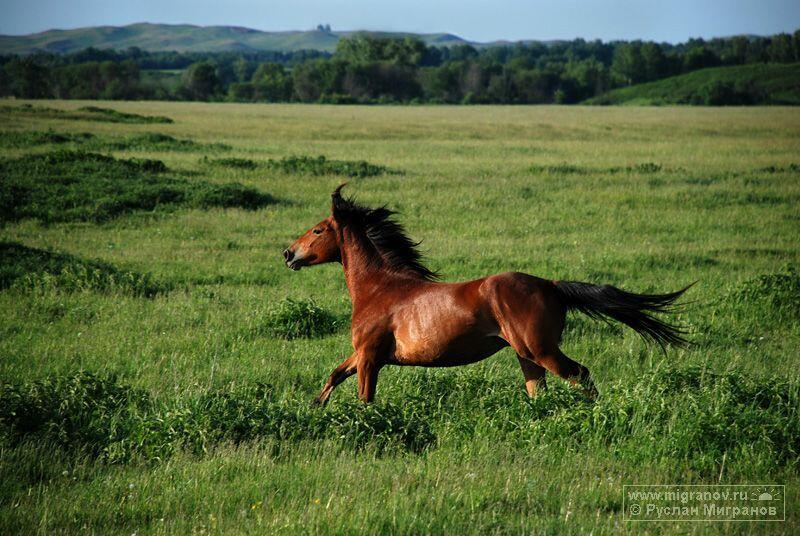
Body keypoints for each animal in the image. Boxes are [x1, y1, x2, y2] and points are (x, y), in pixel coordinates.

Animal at [282, 186, 688, 404]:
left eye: (318, 230)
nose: (288, 254)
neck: (381, 287)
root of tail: (551, 285)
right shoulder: (366, 354)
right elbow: (335, 374)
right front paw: (315, 407)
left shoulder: (370, 357)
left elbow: (365, 400)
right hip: (526, 356)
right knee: (538, 392)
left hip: (541, 350)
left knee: (581, 375)